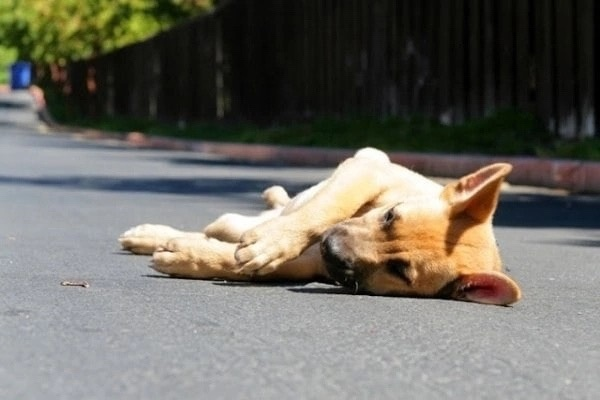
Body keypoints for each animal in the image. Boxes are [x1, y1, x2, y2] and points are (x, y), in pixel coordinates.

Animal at [119, 147, 524, 306]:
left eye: (399, 270)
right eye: (390, 215)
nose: (330, 249)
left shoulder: (308, 265)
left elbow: (236, 263)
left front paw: (189, 258)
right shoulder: (368, 165)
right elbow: (329, 206)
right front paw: (274, 242)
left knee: (221, 229)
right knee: (237, 221)